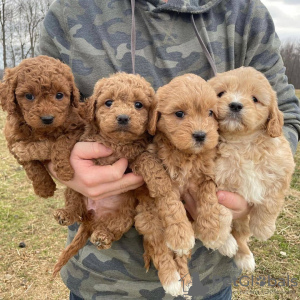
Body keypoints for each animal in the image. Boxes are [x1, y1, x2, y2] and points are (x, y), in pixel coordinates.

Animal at [209, 66, 296, 272]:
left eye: (255, 99)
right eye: (221, 93)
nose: (235, 105)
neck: (242, 144)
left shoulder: (281, 168)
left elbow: (271, 201)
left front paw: (263, 228)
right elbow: (220, 213)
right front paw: (220, 240)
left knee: (241, 233)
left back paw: (245, 256)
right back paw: (230, 245)